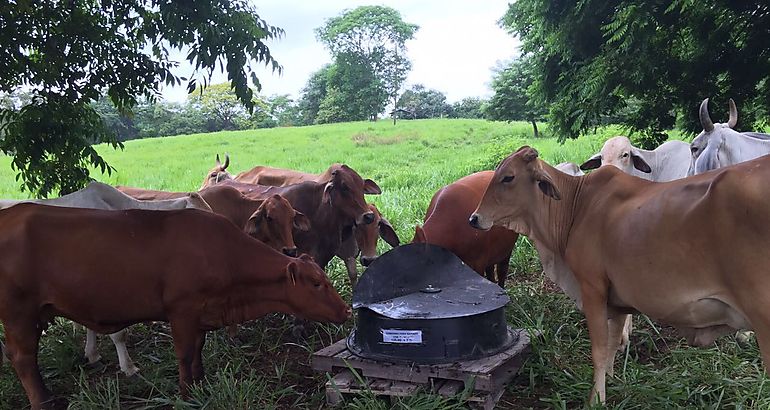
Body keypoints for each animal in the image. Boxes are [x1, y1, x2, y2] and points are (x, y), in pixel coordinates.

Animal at [0, 203, 348, 408]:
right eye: (316, 283)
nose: (346, 310)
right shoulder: (182, 311)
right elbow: (184, 354)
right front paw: (185, 393)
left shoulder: (203, 313)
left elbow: (198, 351)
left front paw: (200, 383)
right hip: (18, 312)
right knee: (23, 358)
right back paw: (43, 401)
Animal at [464, 147, 768, 404]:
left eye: (508, 177)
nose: (474, 219)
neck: (576, 206)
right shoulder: (619, 299)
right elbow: (613, 343)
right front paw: (610, 381)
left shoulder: (592, 288)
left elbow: (599, 349)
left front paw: (595, 399)